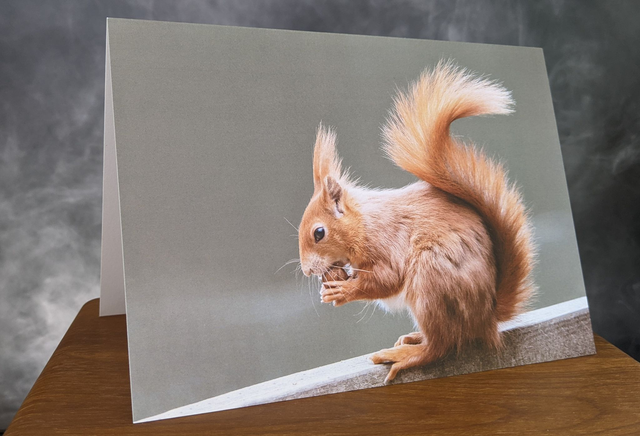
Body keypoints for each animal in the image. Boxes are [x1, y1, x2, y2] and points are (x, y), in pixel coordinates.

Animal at [298, 61, 535, 383]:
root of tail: (486, 318)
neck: (363, 223)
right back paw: (413, 339)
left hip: (431, 281)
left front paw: (343, 291)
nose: (307, 270)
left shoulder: (385, 242)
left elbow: (387, 279)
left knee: (441, 345)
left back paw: (409, 354)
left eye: (319, 233)